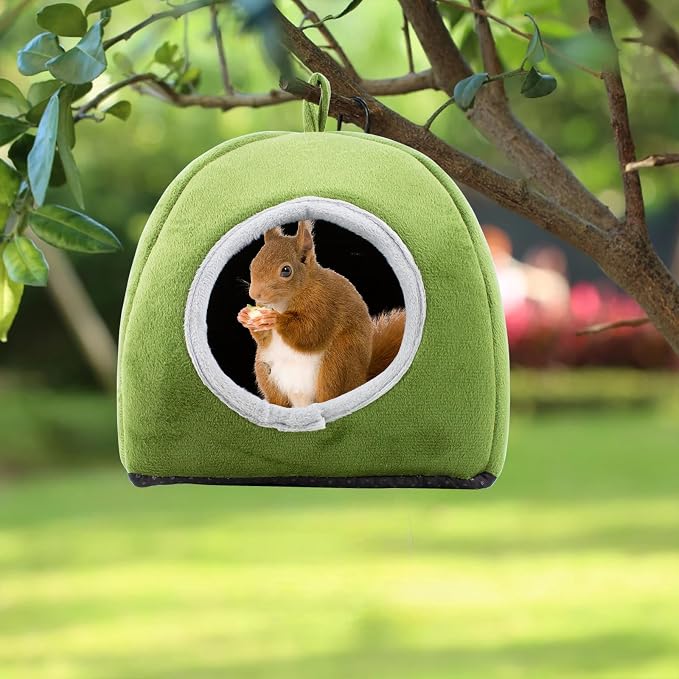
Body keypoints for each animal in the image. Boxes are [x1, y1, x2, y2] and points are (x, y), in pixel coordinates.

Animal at [236, 220, 405, 408]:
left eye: (286, 270)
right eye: (253, 263)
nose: (255, 294)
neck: (283, 302)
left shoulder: (326, 304)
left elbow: (311, 332)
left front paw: (275, 319)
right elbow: (264, 339)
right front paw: (245, 316)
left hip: (336, 365)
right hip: (264, 369)